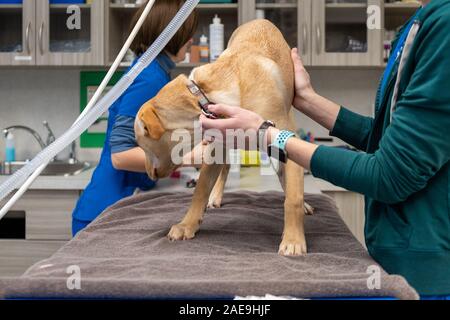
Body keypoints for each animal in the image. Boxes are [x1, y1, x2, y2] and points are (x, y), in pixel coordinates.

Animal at [135, 19, 312, 255]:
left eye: (143, 144)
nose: (149, 174)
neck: (208, 95)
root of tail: (260, 20)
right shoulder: (215, 148)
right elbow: (200, 190)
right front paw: (187, 225)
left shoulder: (286, 140)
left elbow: (293, 198)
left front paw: (293, 240)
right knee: (226, 167)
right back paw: (216, 196)